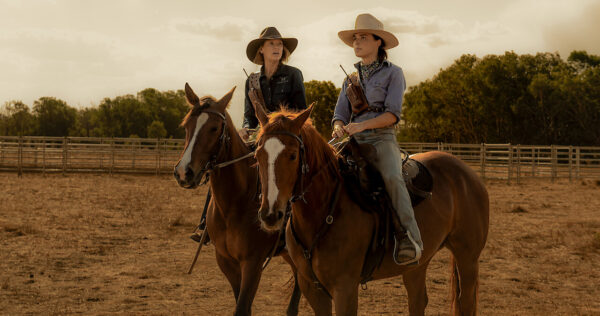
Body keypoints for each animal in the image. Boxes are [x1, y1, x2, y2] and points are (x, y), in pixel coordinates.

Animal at [175, 83, 302, 316]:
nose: (183, 173)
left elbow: (242, 307)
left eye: (215, 128)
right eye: (186, 125)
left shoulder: (252, 263)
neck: (234, 204)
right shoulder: (226, 261)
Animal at [251, 104, 490, 316]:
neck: (325, 211)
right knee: (418, 301)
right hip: (417, 265)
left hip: (467, 257)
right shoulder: (312, 288)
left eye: (292, 155)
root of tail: (467, 172)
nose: (270, 215)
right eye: (257, 155)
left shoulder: (345, 288)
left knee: (466, 303)